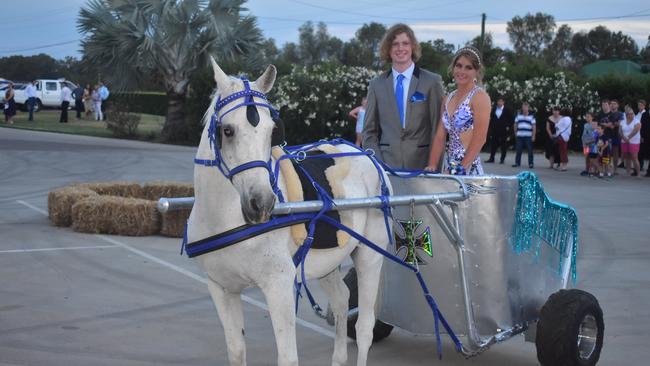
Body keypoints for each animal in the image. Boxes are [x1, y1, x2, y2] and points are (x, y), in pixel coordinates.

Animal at [185, 58, 392, 364]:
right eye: (228, 130)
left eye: (273, 131)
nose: (261, 203)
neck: (224, 218)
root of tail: (366, 154)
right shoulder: (221, 287)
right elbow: (236, 351)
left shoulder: (279, 285)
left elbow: (287, 357)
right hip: (327, 261)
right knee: (342, 299)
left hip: (370, 254)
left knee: (365, 327)